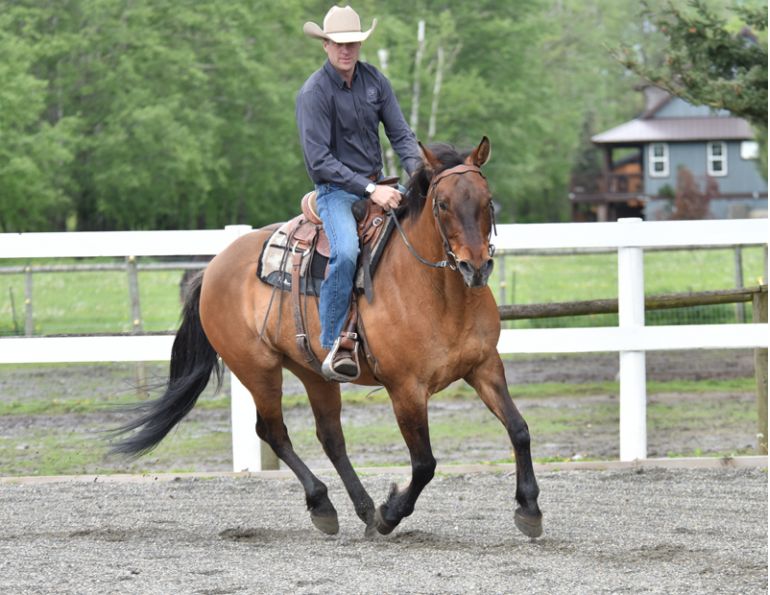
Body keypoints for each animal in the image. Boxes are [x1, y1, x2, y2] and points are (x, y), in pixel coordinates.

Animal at [110, 137, 543, 539]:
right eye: (442, 205)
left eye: (487, 201)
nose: (476, 267)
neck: (440, 294)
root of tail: (213, 267)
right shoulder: (405, 388)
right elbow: (425, 464)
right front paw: (390, 514)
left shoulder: (484, 366)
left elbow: (519, 430)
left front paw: (529, 509)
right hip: (258, 370)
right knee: (274, 432)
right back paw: (325, 505)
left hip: (314, 372)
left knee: (330, 436)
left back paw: (362, 508)